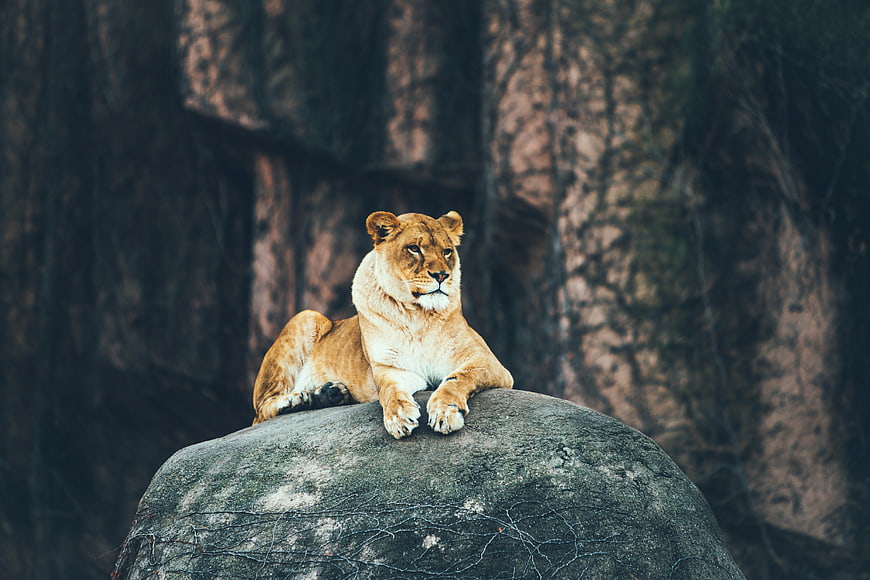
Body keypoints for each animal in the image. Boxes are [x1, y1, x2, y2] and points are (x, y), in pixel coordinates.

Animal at [252, 210, 514, 438]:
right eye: (414, 248)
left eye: (447, 252)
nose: (442, 275)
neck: (418, 316)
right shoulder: (390, 367)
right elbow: (390, 390)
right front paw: (398, 417)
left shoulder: (488, 362)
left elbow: (458, 378)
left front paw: (445, 411)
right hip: (306, 316)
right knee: (261, 411)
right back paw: (300, 398)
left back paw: (329, 394)